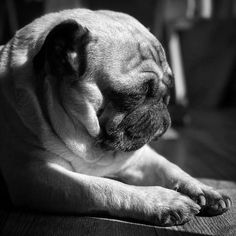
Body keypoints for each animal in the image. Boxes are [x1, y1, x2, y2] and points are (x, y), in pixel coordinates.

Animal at [0, 8, 230, 227]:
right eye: (135, 94)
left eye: (168, 89)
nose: (161, 106)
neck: (91, 144)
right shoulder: (36, 176)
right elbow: (105, 187)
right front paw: (162, 200)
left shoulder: (141, 157)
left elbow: (171, 167)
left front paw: (203, 188)